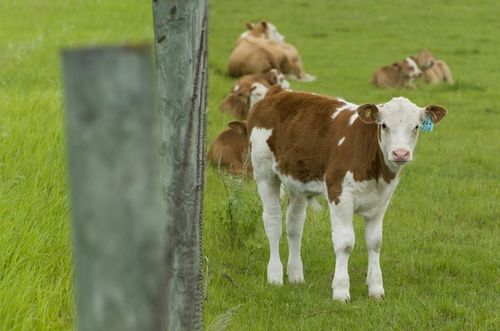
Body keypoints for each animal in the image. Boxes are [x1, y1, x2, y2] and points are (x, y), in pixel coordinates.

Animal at [248, 86, 448, 304]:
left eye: (416, 127)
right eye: (384, 125)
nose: (400, 153)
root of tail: (279, 91)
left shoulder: (382, 201)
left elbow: (375, 242)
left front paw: (376, 288)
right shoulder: (339, 194)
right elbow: (345, 243)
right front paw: (341, 290)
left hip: (297, 181)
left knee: (295, 225)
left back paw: (295, 275)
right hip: (264, 174)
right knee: (273, 222)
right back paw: (275, 275)